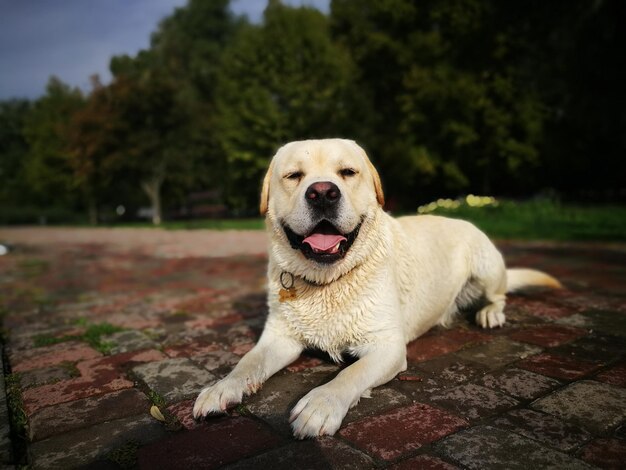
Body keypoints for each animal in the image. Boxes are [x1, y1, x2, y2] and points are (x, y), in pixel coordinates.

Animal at [191, 138, 560, 438]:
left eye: (348, 172)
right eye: (294, 175)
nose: (322, 192)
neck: (328, 281)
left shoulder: (387, 346)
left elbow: (349, 374)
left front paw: (320, 404)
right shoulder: (279, 337)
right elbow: (247, 362)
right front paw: (222, 387)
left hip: (486, 266)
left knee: (499, 295)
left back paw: (489, 313)